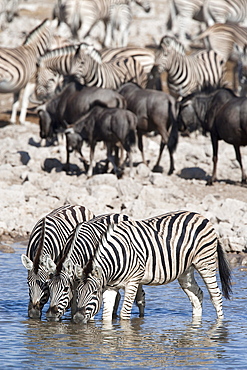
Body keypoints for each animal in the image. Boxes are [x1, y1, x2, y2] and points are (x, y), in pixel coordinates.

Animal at [73, 211, 232, 324]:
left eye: (94, 293)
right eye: (77, 292)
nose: (77, 319)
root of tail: (202, 217)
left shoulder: (133, 281)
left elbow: (124, 314)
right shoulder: (111, 287)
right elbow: (106, 316)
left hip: (206, 263)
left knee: (216, 296)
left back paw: (220, 325)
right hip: (185, 272)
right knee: (197, 295)